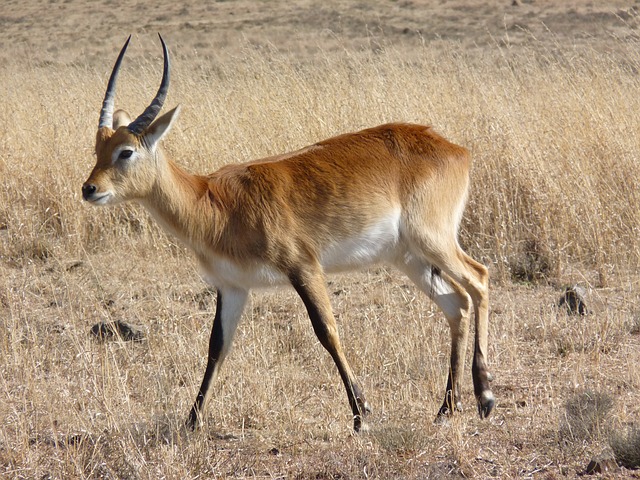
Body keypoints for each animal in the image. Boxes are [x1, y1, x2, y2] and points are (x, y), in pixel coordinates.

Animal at [82, 34, 496, 432]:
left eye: (126, 151)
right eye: (98, 147)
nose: (89, 189)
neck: (214, 202)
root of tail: (455, 148)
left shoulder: (304, 266)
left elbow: (326, 330)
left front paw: (361, 414)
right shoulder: (232, 286)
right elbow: (217, 345)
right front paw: (192, 421)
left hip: (433, 240)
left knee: (479, 278)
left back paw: (485, 397)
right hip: (408, 256)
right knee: (456, 303)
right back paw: (446, 409)